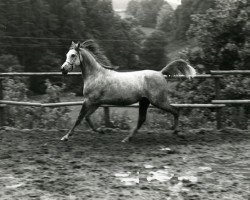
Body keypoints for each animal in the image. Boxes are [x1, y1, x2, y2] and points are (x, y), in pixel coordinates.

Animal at [59, 40, 196, 142]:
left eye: (73, 55)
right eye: (66, 54)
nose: (63, 69)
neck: (96, 75)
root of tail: (160, 73)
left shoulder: (89, 101)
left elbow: (80, 118)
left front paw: (65, 136)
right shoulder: (96, 102)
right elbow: (87, 117)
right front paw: (101, 131)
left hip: (158, 101)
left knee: (175, 110)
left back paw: (177, 132)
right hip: (144, 101)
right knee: (142, 119)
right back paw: (127, 138)